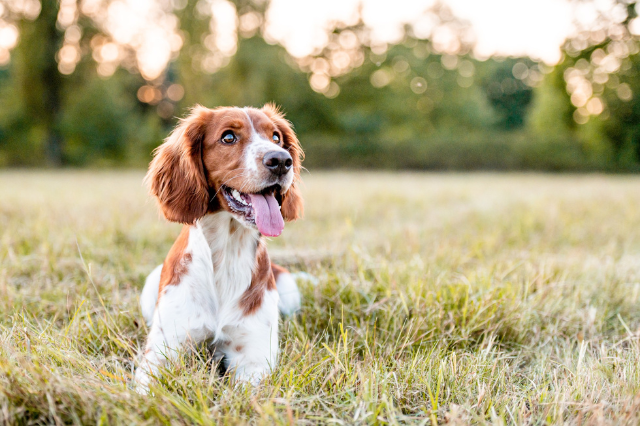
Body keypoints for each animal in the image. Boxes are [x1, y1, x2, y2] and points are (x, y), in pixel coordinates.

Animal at [134, 103, 304, 392]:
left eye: (276, 137)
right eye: (228, 137)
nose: (281, 160)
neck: (227, 252)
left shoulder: (254, 358)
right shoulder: (161, 352)